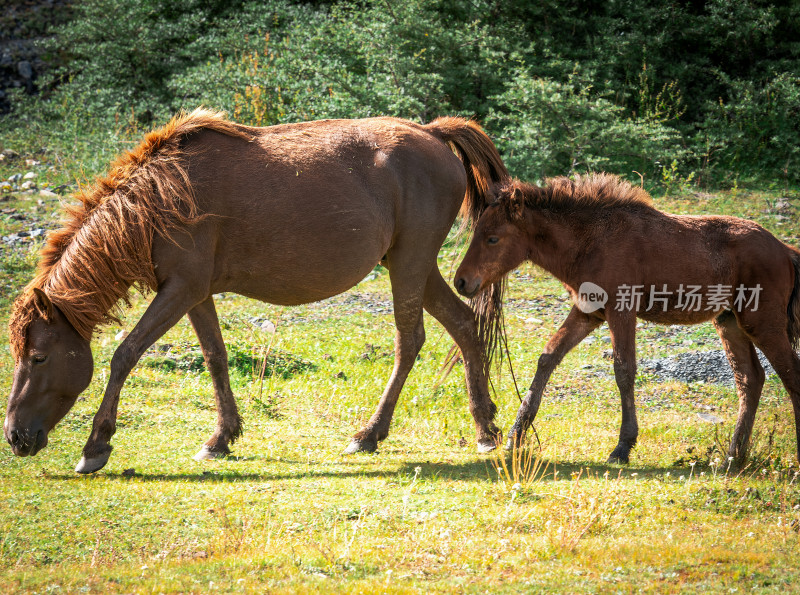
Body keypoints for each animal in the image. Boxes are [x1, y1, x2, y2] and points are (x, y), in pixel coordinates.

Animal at [4, 108, 506, 474]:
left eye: (39, 357)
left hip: (409, 265)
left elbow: (125, 354)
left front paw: (95, 445)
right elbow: (215, 357)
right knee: (465, 325)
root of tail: (433, 133)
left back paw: (368, 434)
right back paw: (485, 429)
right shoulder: (194, 293)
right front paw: (221, 438)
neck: (161, 199)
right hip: (415, 268)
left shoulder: (180, 290)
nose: (14, 436)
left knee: (410, 341)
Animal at [454, 175, 800, 468]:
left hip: (762, 323)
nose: (461, 281)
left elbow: (624, 370)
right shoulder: (588, 312)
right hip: (730, 322)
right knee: (750, 379)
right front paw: (516, 434)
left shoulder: (621, 310)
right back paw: (733, 456)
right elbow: (548, 357)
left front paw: (623, 446)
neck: (590, 241)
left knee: (789, 374)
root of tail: (785, 250)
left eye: (493, 238)